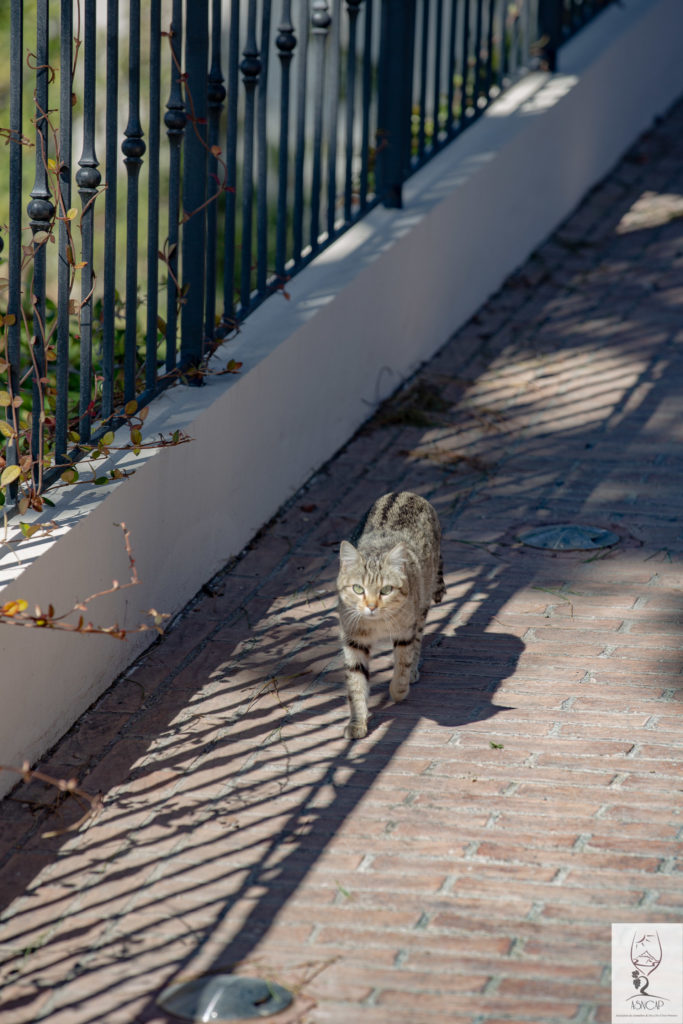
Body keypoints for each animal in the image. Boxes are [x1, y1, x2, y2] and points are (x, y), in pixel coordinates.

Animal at [335, 491, 444, 741]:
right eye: (358, 589)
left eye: (386, 590)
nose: (371, 606)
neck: (377, 625)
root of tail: (407, 492)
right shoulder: (353, 639)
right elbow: (356, 682)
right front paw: (357, 721)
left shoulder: (405, 630)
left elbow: (403, 662)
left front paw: (399, 690)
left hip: (421, 608)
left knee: (417, 642)